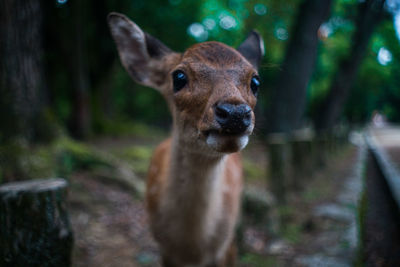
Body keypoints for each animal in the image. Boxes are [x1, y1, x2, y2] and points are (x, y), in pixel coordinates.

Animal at [108, 13, 264, 267]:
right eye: (178, 76)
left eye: (255, 82)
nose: (235, 113)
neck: (191, 249)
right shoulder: (165, 250)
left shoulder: (224, 247)